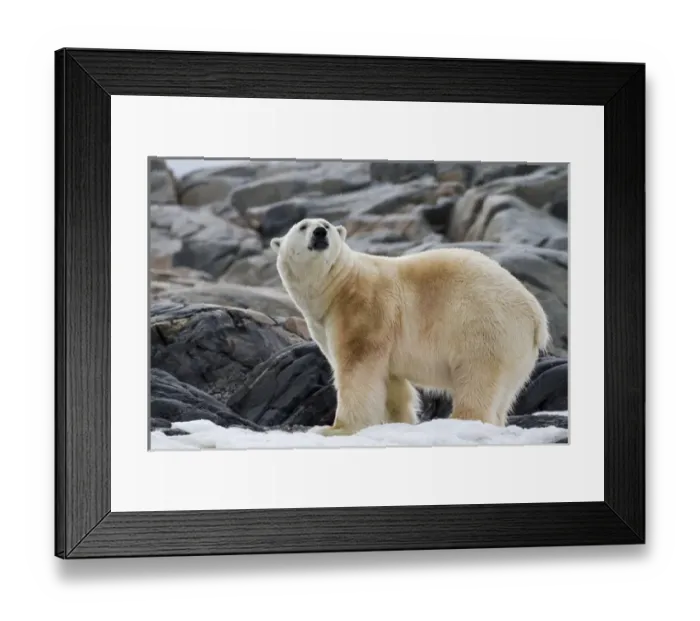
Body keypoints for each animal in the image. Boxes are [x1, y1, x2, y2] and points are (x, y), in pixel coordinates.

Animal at [270, 217, 550, 437]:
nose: (320, 233)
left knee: (478, 377)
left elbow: (357, 370)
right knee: (502, 394)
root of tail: (536, 315)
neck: (338, 286)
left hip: (483, 325)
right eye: (303, 226)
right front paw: (399, 421)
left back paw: (462, 421)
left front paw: (334, 428)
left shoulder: (364, 310)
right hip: (514, 350)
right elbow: (393, 383)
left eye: (326, 224)